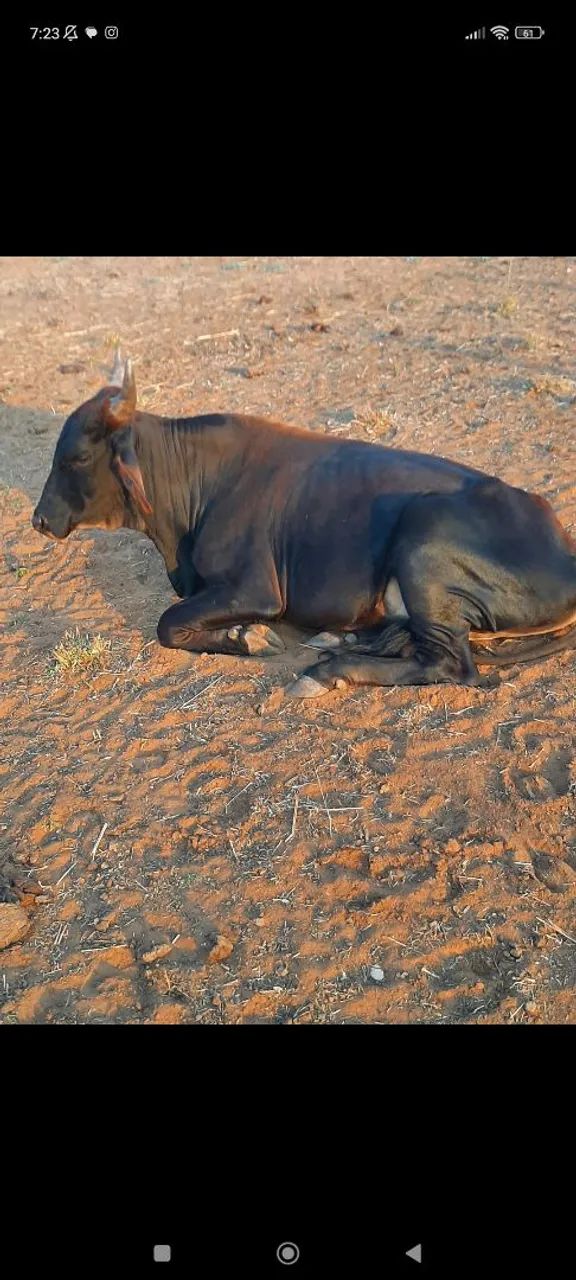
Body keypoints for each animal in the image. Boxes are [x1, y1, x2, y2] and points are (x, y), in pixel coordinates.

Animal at [32, 351, 576, 698]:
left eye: (77, 456)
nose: (40, 520)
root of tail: (561, 544)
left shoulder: (255, 588)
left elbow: (168, 623)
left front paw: (249, 638)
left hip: (426, 540)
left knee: (451, 664)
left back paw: (327, 671)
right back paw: (340, 640)